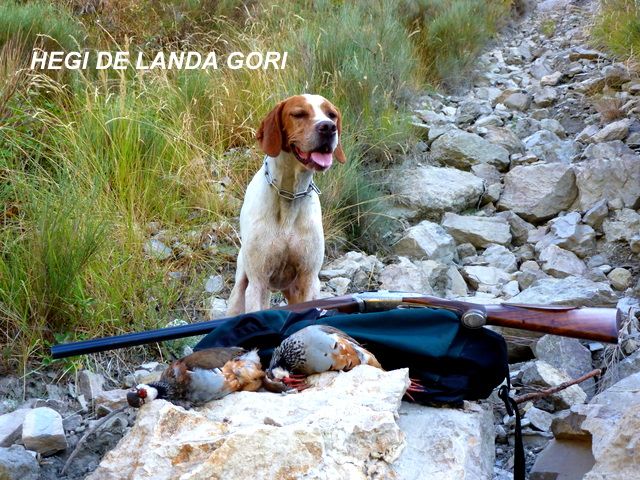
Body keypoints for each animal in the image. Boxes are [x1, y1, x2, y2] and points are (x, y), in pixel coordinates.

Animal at [226, 94, 344, 316]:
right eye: (299, 114)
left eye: (331, 114)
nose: (328, 127)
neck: (290, 193)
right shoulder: (258, 282)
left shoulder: (307, 279)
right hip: (240, 289)